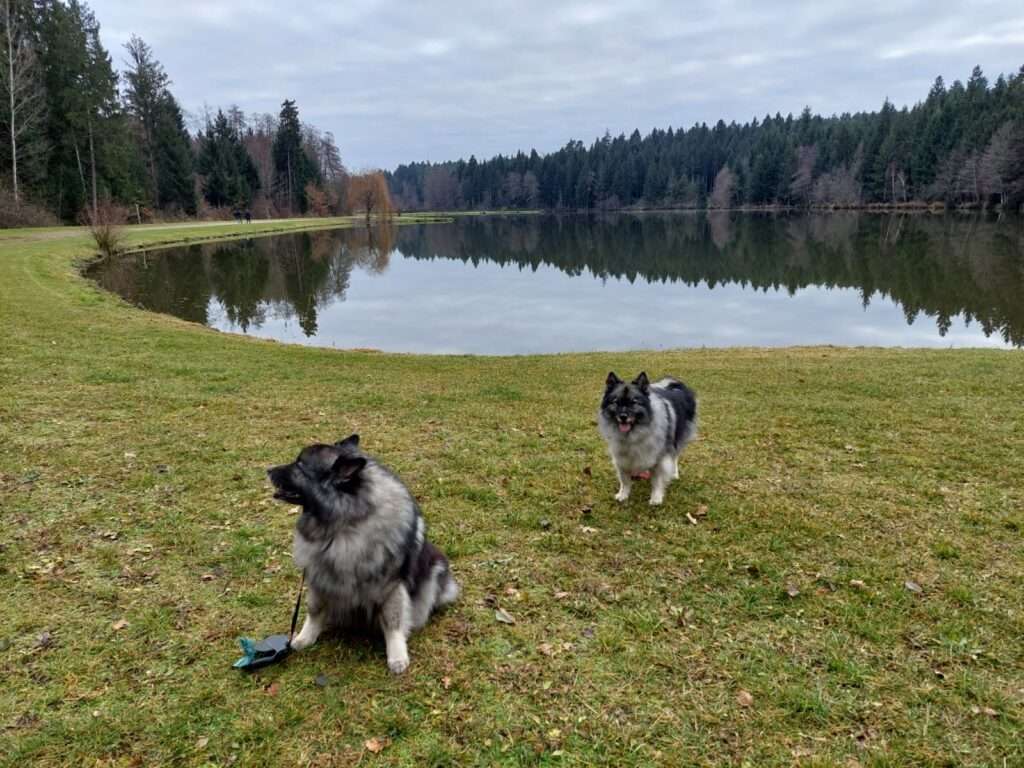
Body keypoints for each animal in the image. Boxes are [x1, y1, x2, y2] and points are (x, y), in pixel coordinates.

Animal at [266, 436, 458, 675]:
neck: (343, 525)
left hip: (435, 567)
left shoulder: (390, 587)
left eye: (300, 465)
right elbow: (314, 612)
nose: (268, 469)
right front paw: (304, 638)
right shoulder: (319, 577)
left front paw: (397, 656)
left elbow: (393, 623)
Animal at [598, 370, 696, 505]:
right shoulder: (621, 458)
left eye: (634, 402)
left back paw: (674, 473)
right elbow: (624, 480)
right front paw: (623, 494)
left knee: (675, 456)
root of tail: (674, 383)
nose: (623, 416)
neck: (634, 433)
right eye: (616, 402)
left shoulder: (660, 458)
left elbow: (657, 480)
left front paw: (656, 497)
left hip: (678, 438)